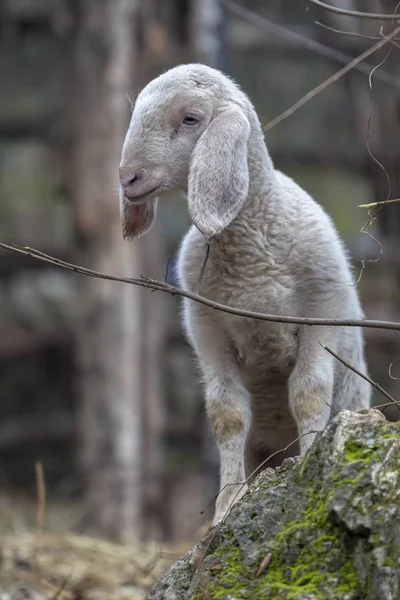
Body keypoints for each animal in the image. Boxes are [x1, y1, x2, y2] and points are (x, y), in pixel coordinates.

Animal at [118, 63, 372, 528]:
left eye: (190, 119)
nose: (127, 178)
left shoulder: (321, 311)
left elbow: (309, 394)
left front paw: (309, 467)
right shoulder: (207, 330)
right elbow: (228, 415)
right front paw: (227, 506)